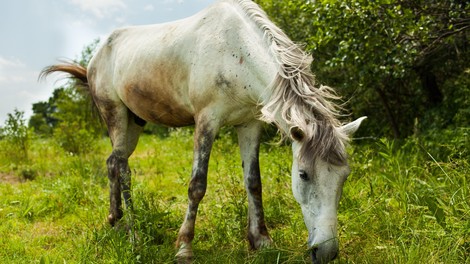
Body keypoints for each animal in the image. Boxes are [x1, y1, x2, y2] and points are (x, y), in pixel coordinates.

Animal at [42, 1, 366, 262]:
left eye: (345, 176)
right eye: (303, 175)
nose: (326, 252)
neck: (236, 50)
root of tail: (96, 56)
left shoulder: (250, 125)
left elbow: (254, 183)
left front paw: (261, 241)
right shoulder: (206, 122)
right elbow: (197, 185)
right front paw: (184, 248)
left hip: (133, 123)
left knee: (113, 163)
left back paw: (116, 221)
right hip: (116, 117)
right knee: (122, 168)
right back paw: (133, 234)